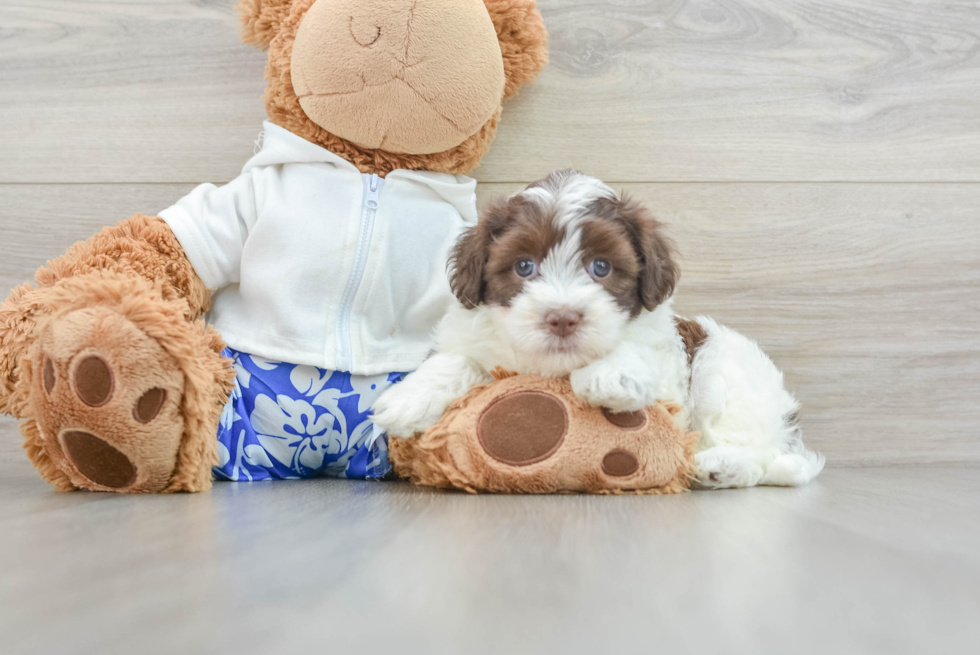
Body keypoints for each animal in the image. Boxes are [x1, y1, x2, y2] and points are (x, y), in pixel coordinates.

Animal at [376, 172, 828, 490]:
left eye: (601, 267)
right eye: (524, 266)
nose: (562, 317)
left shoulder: (665, 360)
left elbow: (637, 350)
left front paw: (612, 375)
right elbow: (457, 359)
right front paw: (408, 400)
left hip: (727, 374)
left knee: (763, 455)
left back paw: (722, 467)